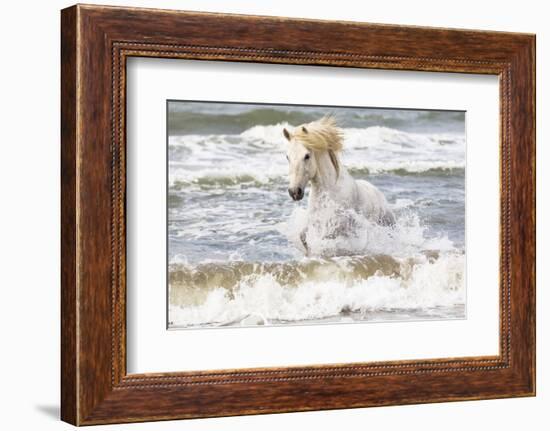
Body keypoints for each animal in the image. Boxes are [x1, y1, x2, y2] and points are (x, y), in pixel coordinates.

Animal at [284, 116, 396, 255]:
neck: (331, 192)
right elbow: (303, 237)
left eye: (306, 156)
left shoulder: (337, 227)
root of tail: (379, 194)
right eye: (287, 157)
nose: (294, 192)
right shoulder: (314, 222)